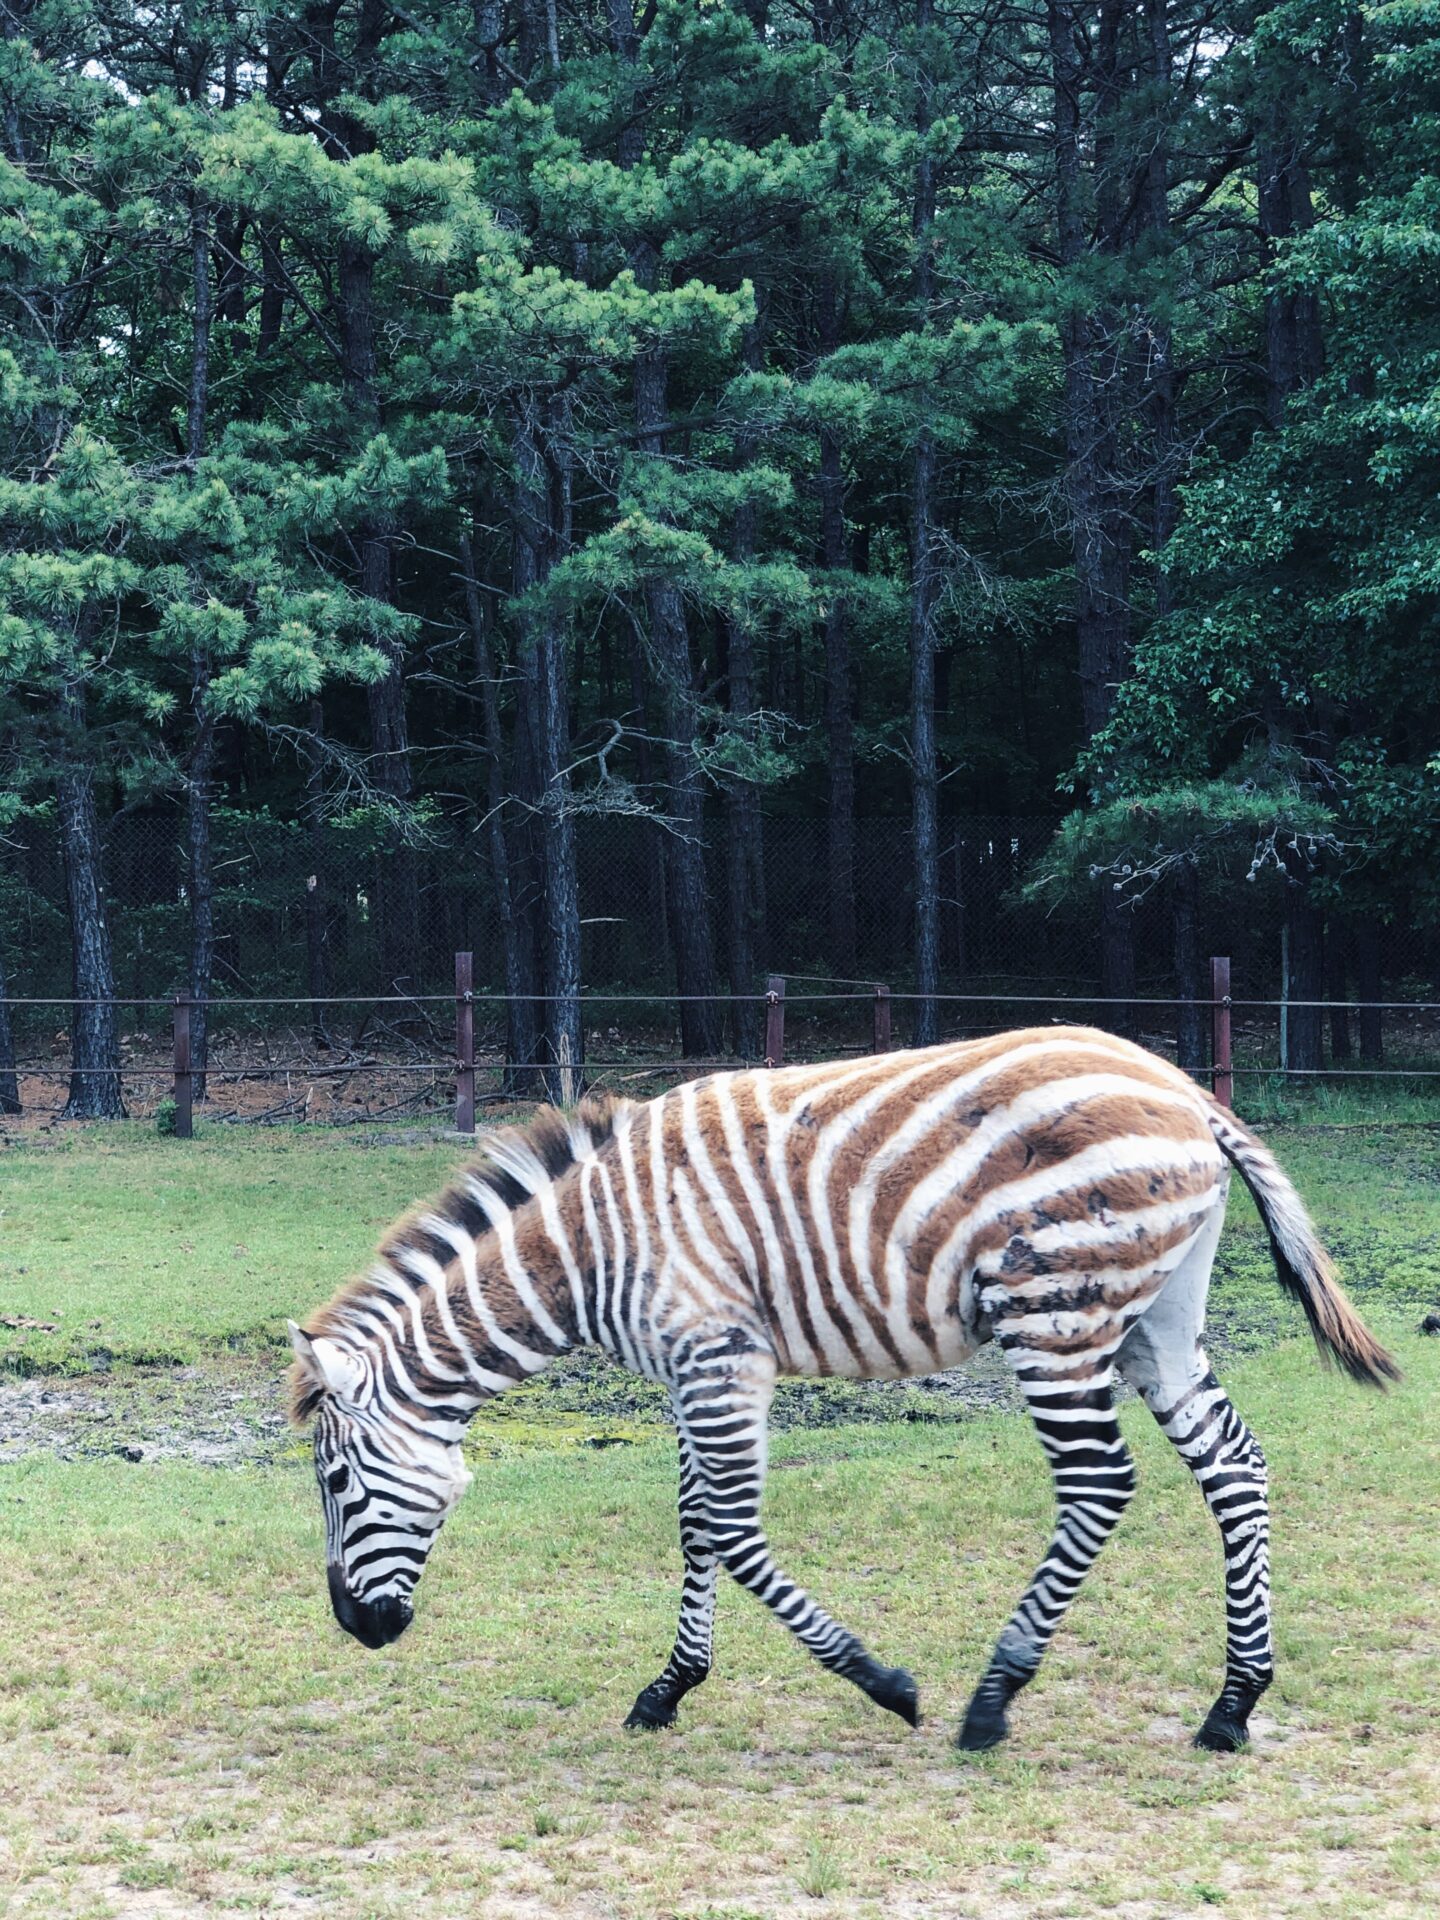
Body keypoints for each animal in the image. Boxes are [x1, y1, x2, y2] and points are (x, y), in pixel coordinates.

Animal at [288, 1029, 1405, 1751]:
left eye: (334, 1485)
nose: (354, 1628)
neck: (591, 1249)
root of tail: (1188, 1091)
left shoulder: (718, 1354)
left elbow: (730, 1529)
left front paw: (885, 1684)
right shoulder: (698, 1366)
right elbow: (693, 1520)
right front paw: (669, 1689)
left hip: (1055, 1312)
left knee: (1100, 1485)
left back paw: (993, 1699)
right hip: (1157, 1318)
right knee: (1236, 1467)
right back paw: (1234, 1704)